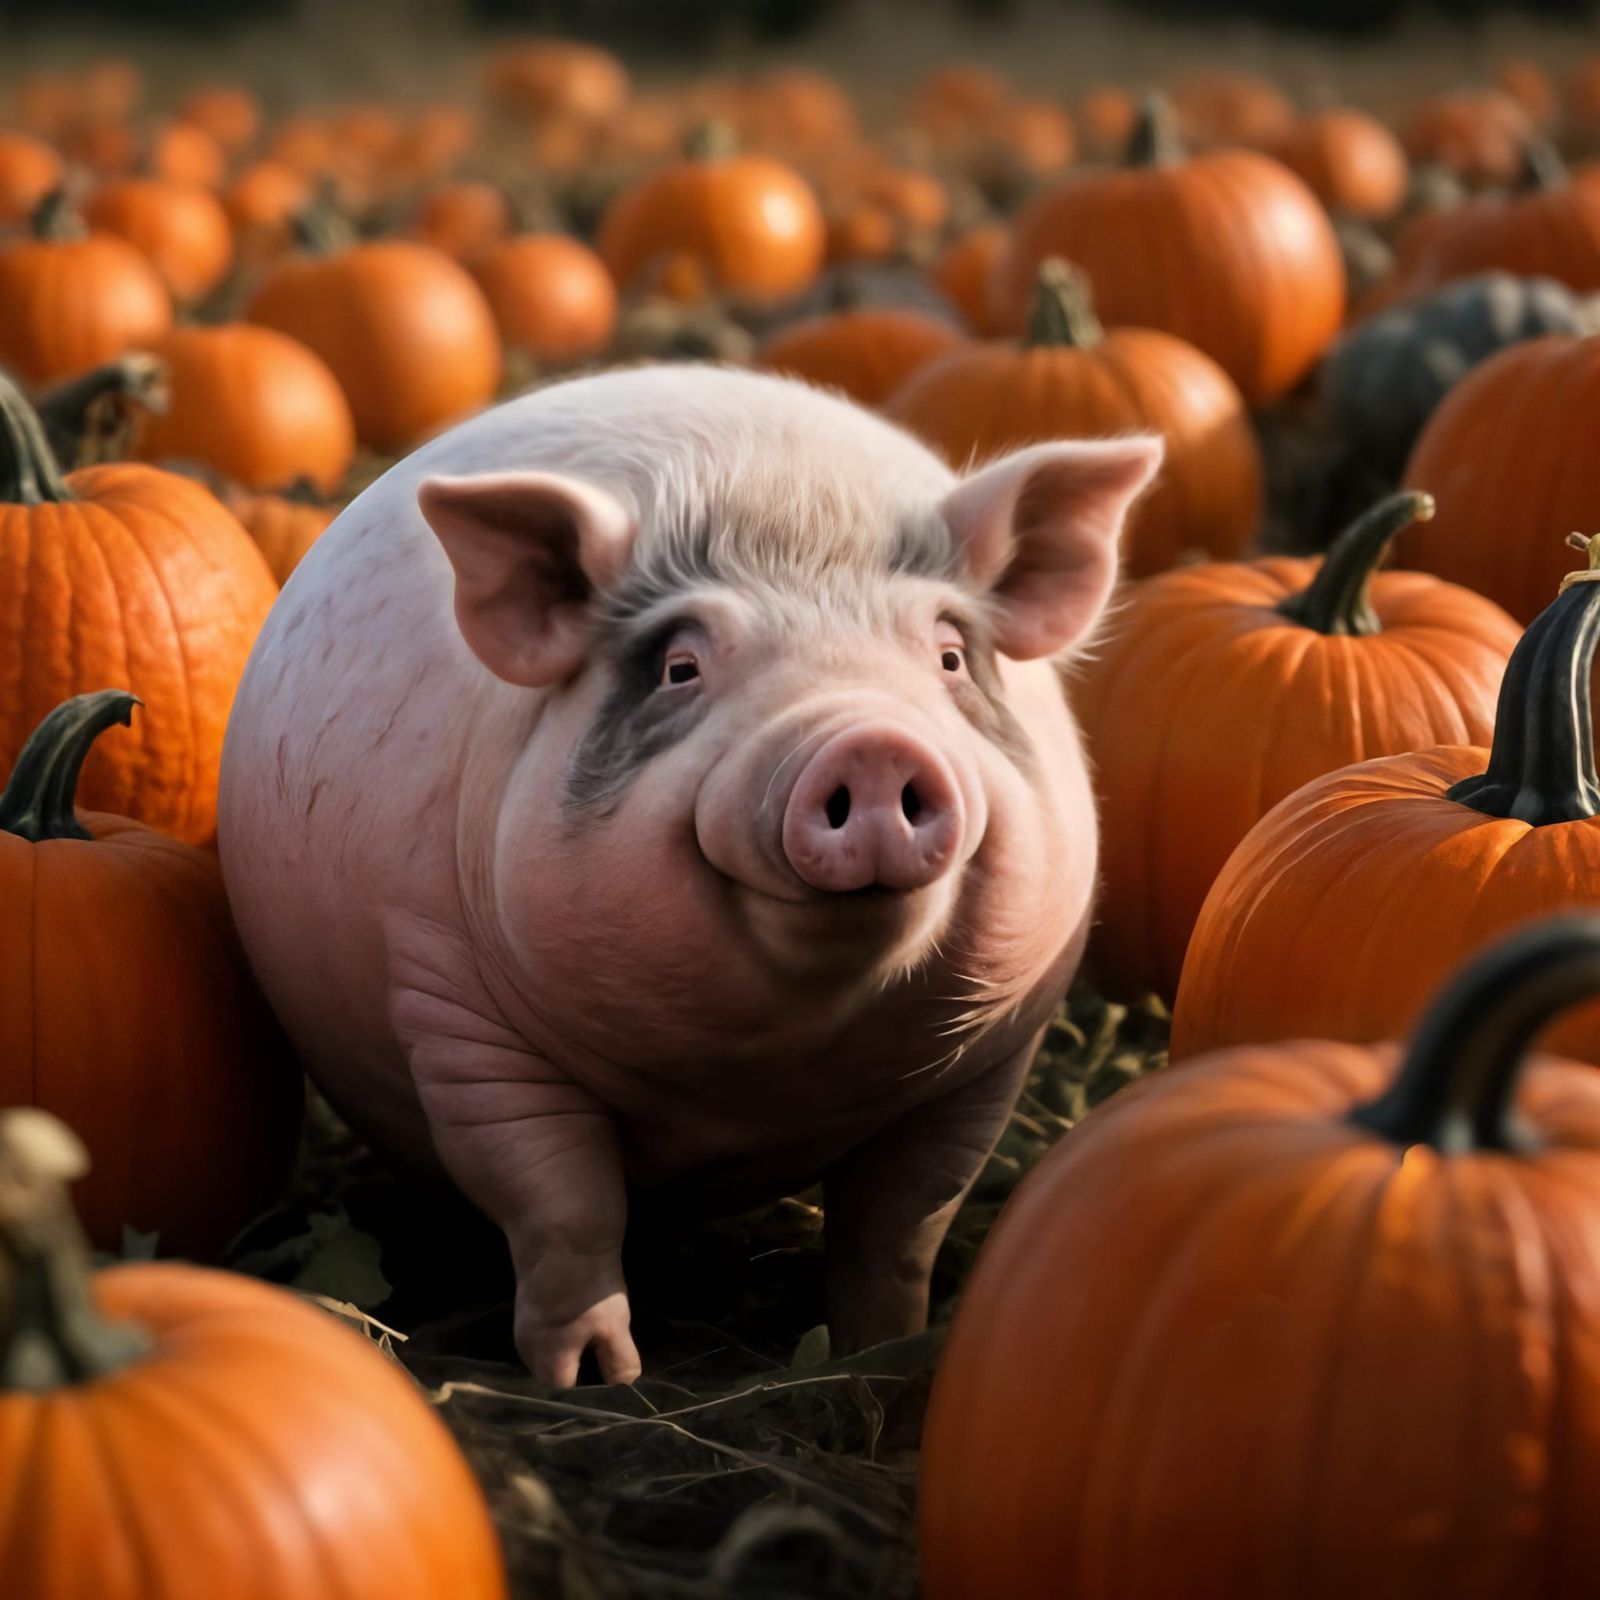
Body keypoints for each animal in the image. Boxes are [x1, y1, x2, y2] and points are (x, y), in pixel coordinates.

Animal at [217, 366, 1160, 1387]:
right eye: (681, 667)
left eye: (949, 656)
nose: (870, 741)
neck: (757, 1087)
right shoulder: (454, 1008)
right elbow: (557, 1200)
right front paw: (600, 1379)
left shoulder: (993, 1057)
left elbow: (906, 1222)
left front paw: (881, 1353)